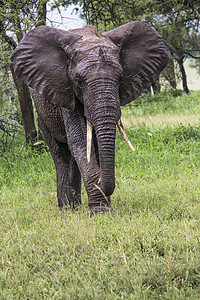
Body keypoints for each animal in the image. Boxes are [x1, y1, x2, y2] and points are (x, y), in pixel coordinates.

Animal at [11, 21, 169, 216]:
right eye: (78, 82)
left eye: (120, 79)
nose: (102, 182)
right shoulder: (67, 92)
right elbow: (79, 140)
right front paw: (101, 212)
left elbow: (94, 146)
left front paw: (104, 207)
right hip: (43, 116)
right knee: (61, 154)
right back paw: (67, 209)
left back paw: (76, 206)